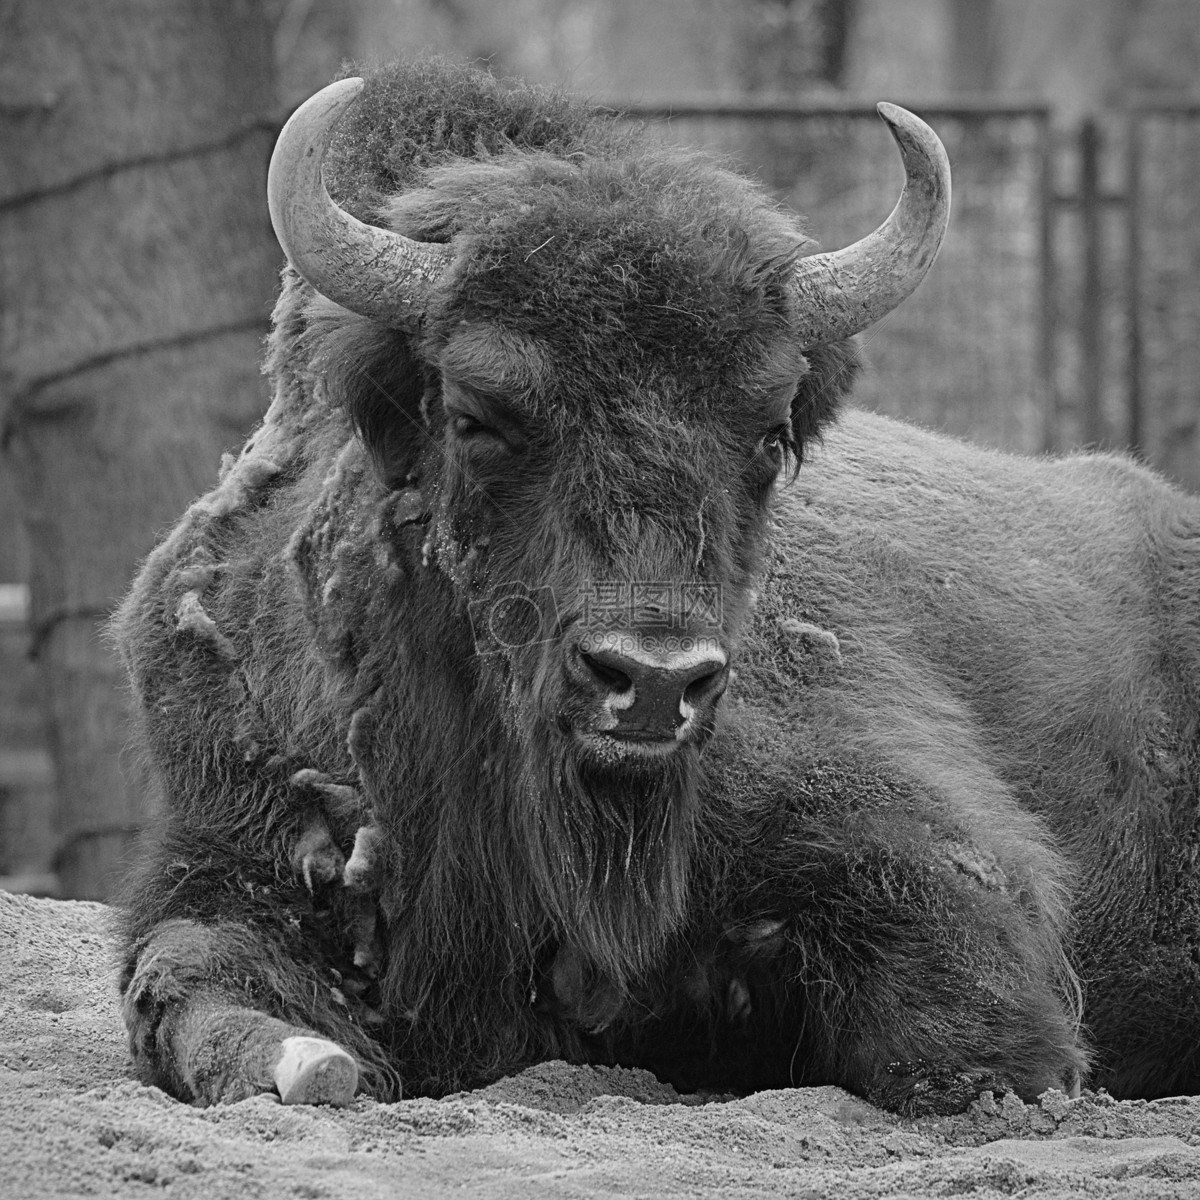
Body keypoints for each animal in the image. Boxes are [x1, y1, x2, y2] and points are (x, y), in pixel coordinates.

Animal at [114, 58, 1200, 1113]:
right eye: (476, 413)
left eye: (769, 431)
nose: (655, 681)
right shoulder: (236, 836)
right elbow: (187, 977)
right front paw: (308, 1061)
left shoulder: (904, 832)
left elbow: (966, 1042)